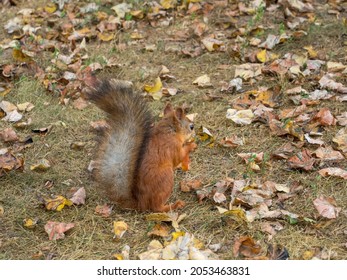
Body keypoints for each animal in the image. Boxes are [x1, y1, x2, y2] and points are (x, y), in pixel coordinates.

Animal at [86, 79, 197, 212]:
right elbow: (178, 157)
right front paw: (192, 145)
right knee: (157, 207)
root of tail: (141, 203)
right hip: (166, 178)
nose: (195, 132)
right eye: (191, 127)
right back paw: (174, 205)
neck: (169, 131)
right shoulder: (172, 146)